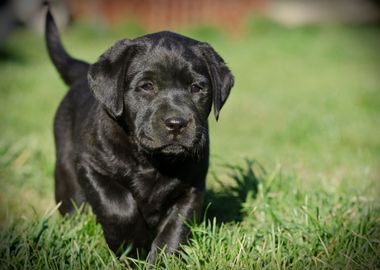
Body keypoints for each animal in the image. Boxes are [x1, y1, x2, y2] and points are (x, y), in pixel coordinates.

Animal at [46, 6, 233, 264]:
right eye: (146, 86)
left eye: (196, 88)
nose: (176, 123)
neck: (151, 161)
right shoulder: (92, 167)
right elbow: (118, 207)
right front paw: (132, 248)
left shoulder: (192, 185)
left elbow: (176, 226)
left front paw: (162, 260)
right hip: (66, 174)